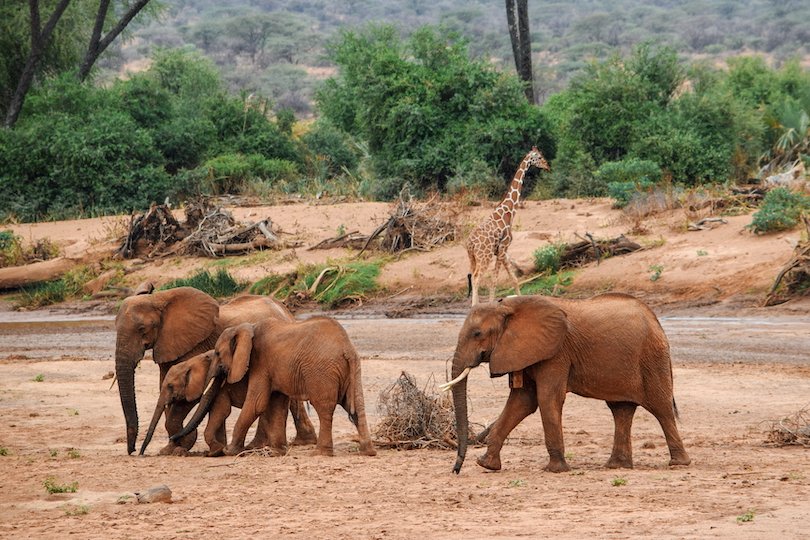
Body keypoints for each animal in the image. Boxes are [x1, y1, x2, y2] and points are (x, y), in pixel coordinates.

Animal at [140, 350, 310, 456]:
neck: (194, 361)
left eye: (170, 386)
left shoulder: (220, 385)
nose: (140, 453)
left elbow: (220, 410)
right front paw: (217, 449)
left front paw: (216, 451)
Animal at [174, 316, 376, 460]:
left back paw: (320, 453)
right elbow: (277, 405)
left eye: (217, 353)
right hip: (350, 370)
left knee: (324, 408)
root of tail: (347, 348)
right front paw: (277, 452)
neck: (247, 328)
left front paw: (231, 451)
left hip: (322, 372)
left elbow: (256, 403)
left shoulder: (260, 362)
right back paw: (367, 451)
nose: (174, 438)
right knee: (355, 406)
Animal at [442, 294, 688, 474]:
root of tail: (656, 320)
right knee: (621, 410)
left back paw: (678, 463)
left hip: (652, 357)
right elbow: (523, 402)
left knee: (661, 408)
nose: (456, 470)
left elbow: (546, 398)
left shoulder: (556, 352)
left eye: (477, 333)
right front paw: (486, 464)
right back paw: (617, 466)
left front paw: (556, 470)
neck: (509, 306)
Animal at [464, 146, 552, 306]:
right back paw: (475, 306)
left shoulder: (503, 251)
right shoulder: (502, 248)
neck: (509, 212)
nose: (548, 166)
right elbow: (494, 281)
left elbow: (514, 279)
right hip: (484, 256)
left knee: (472, 277)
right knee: (477, 277)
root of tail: (470, 244)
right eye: (539, 157)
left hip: (472, 257)